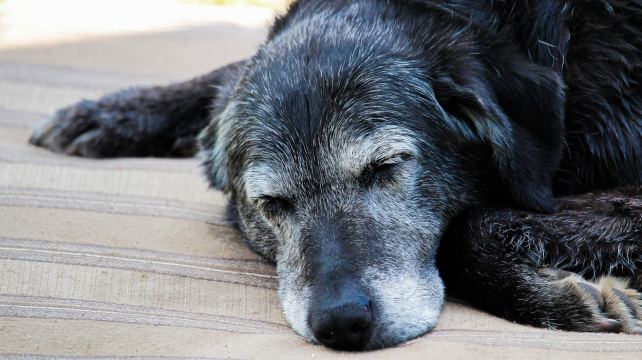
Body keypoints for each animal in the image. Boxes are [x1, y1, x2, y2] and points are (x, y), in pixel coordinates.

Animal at [28, 0, 640, 350]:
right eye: (271, 204)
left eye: (386, 167)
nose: (342, 324)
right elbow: (225, 72)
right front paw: (113, 113)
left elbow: (468, 231)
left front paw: (554, 298)